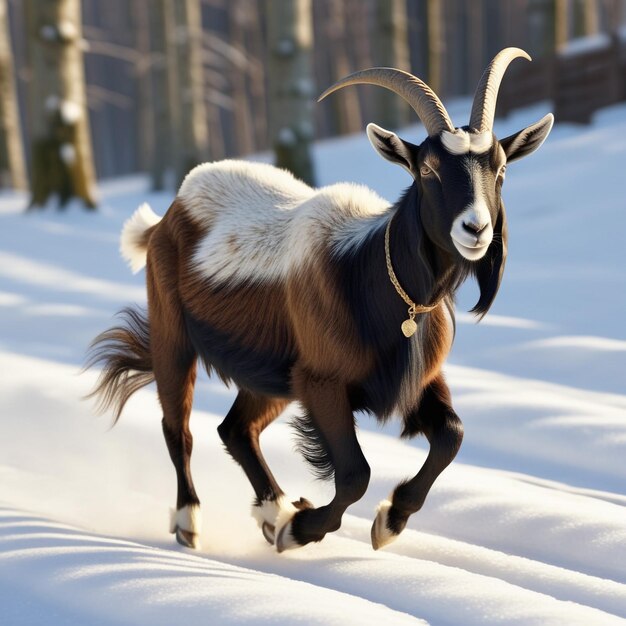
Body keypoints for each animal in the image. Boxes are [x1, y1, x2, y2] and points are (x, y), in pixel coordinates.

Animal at [88, 48, 552, 548]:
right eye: (427, 169)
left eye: (501, 169)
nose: (476, 229)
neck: (372, 279)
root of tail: (168, 214)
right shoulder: (322, 383)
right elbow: (355, 473)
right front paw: (300, 529)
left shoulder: (417, 378)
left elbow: (452, 435)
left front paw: (388, 521)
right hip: (174, 336)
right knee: (179, 428)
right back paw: (191, 523)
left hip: (271, 376)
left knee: (236, 429)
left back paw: (271, 511)